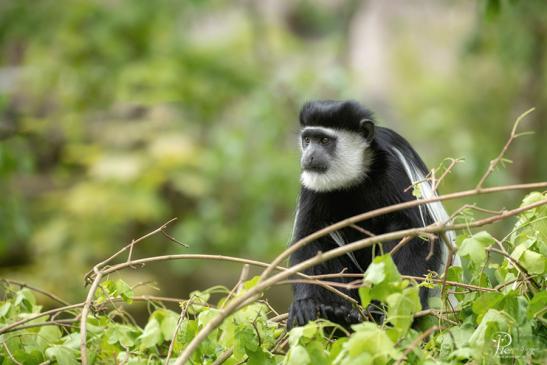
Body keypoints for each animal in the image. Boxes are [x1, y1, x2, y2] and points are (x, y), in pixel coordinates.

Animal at [288, 99, 456, 328]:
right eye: (307, 139)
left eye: (324, 140)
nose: (309, 156)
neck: (357, 174)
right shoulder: (311, 183)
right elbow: (309, 239)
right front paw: (305, 303)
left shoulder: (396, 169)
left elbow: (416, 235)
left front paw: (397, 306)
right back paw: (338, 313)